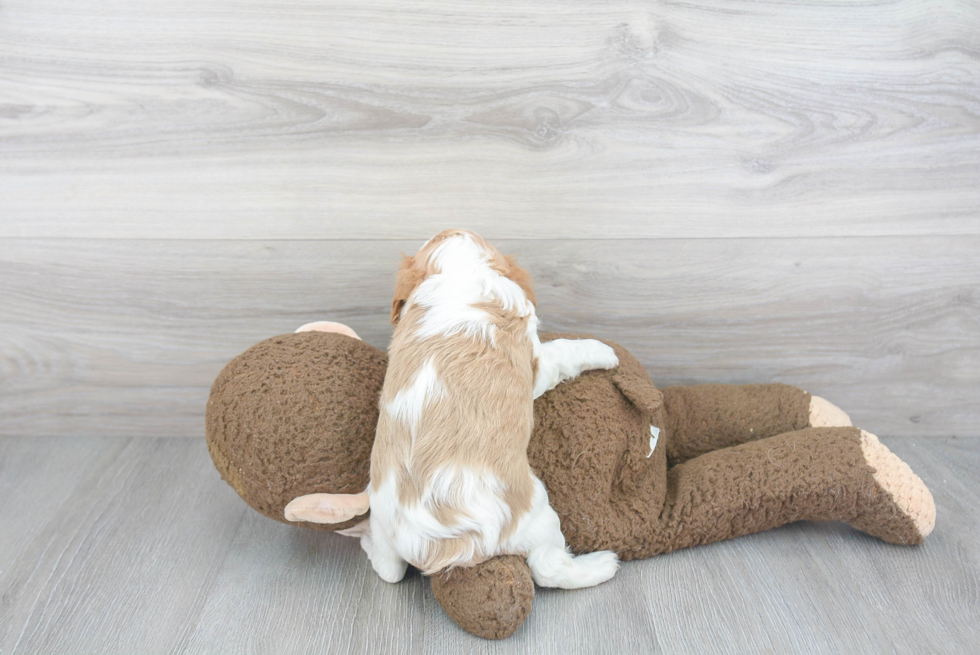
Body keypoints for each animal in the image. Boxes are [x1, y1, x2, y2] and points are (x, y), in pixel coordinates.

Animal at [286, 231, 620, 588]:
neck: (458, 274)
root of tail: (436, 547)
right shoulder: (535, 363)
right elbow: (562, 352)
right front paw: (603, 351)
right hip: (536, 513)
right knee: (548, 568)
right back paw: (602, 564)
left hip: (385, 527)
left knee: (389, 571)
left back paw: (366, 542)